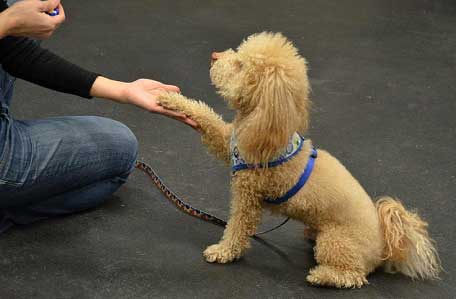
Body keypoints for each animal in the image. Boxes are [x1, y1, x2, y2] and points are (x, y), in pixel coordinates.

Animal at [156, 32, 438, 288]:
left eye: (240, 66)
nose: (215, 55)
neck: (267, 128)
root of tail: (385, 246)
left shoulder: (248, 198)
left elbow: (237, 228)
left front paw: (223, 251)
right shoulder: (230, 142)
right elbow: (205, 115)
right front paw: (168, 98)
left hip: (335, 242)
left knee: (353, 276)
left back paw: (322, 276)